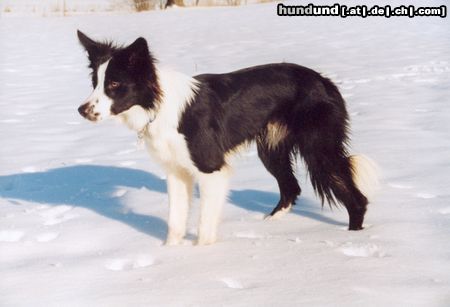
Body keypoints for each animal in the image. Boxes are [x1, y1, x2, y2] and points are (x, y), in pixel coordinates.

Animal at [76, 31, 376, 247]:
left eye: (114, 84)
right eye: (94, 83)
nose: (82, 110)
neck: (158, 105)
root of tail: (325, 81)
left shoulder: (211, 169)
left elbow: (204, 224)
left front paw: (203, 256)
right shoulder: (176, 172)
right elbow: (175, 220)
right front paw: (170, 255)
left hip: (318, 150)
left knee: (356, 198)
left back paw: (353, 238)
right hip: (271, 150)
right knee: (291, 188)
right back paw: (268, 225)